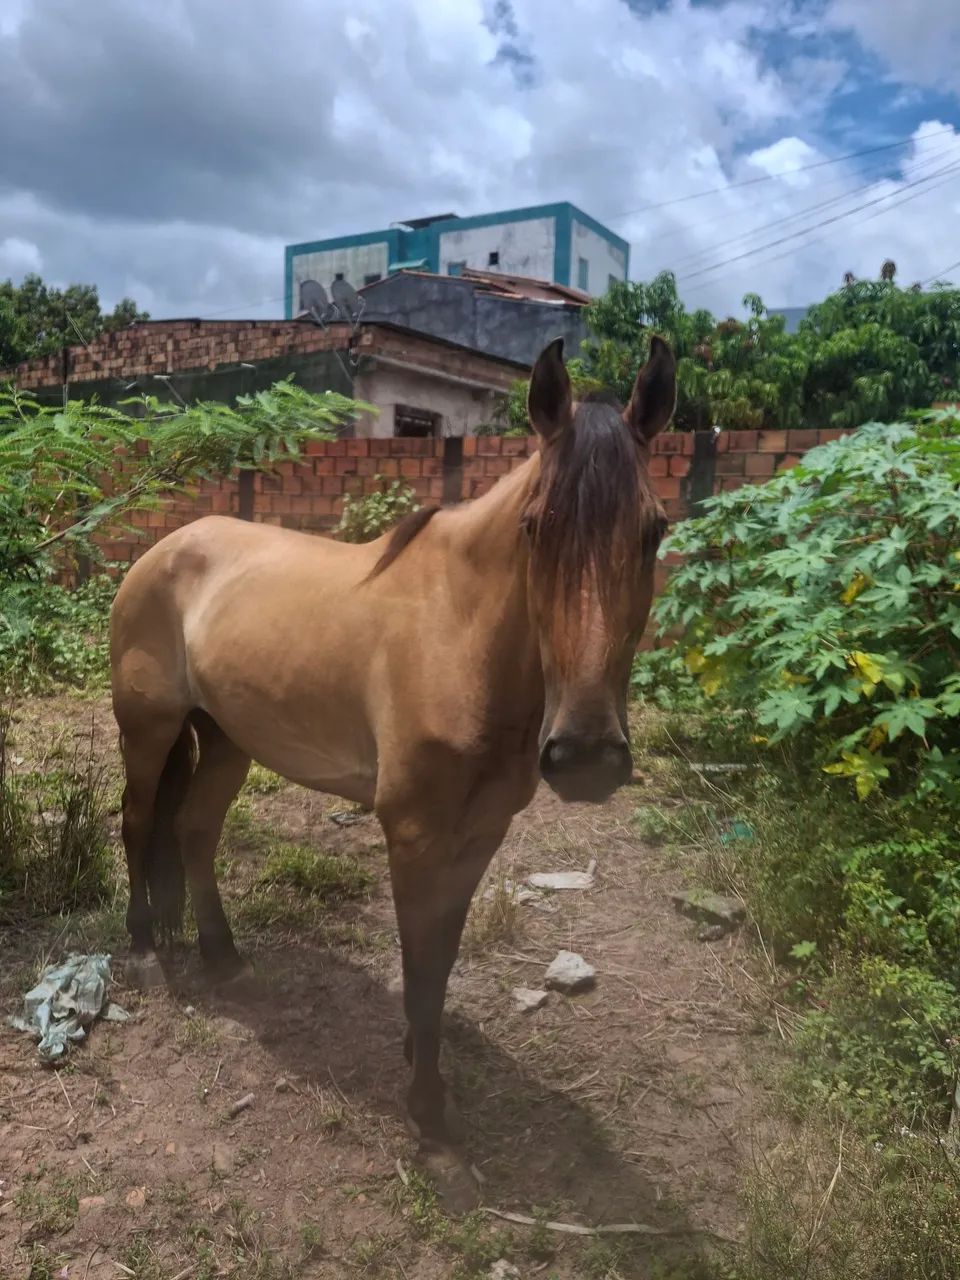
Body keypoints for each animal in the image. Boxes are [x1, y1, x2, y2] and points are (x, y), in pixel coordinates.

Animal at [109, 334, 676, 1205]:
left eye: (653, 530)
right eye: (536, 527)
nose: (585, 757)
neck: (458, 636)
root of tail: (164, 548)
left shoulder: (479, 835)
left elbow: (440, 963)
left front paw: (422, 1064)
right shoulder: (413, 835)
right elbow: (419, 967)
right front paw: (431, 1123)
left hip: (229, 739)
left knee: (195, 831)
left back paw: (224, 957)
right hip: (149, 730)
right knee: (141, 824)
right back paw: (144, 952)